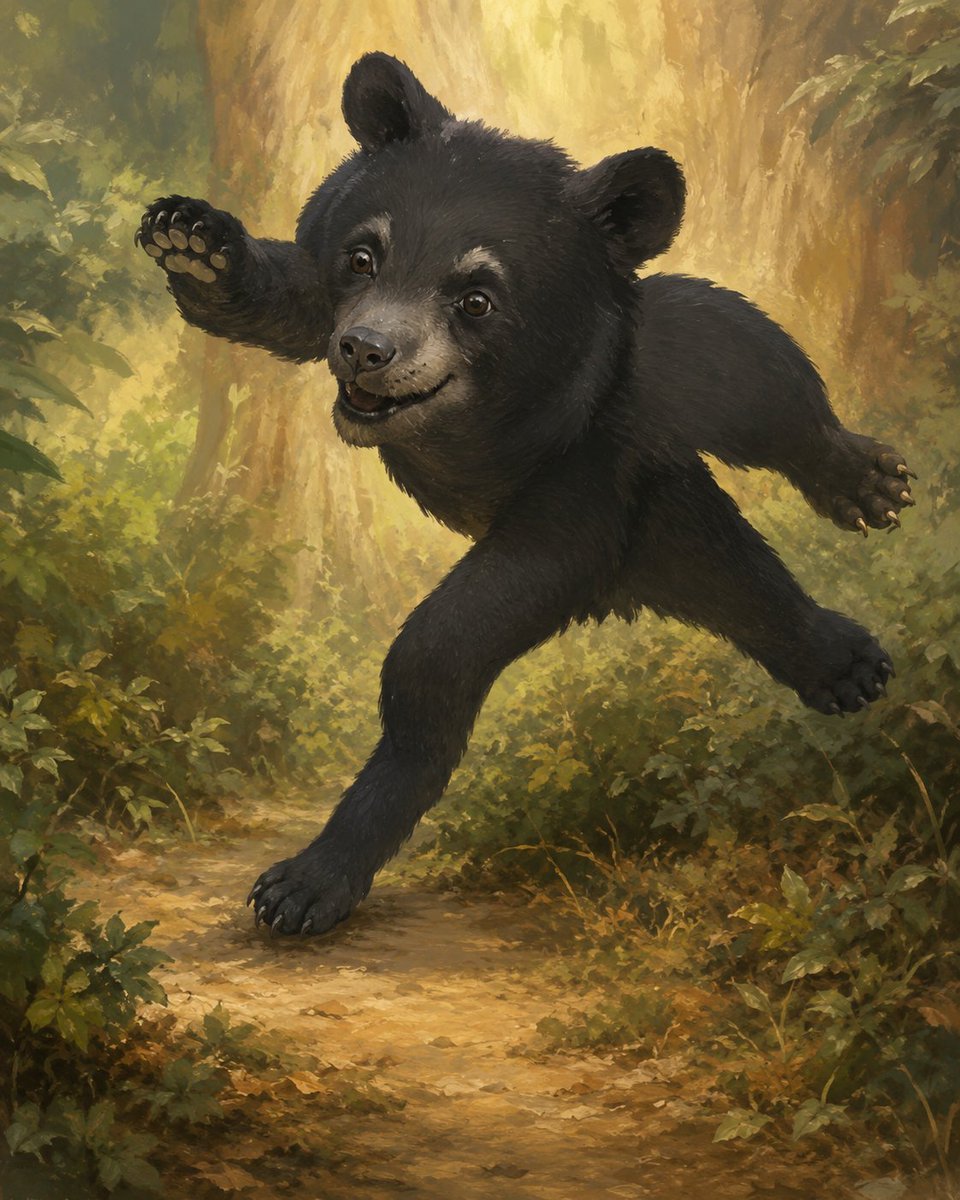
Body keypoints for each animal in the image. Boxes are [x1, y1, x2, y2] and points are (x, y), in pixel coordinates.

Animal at [136, 52, 914, 936]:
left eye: (478, 297)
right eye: (363, 256)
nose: (366, 349)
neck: (487, 419)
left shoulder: (587, 470)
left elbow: (449, 640)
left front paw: (305, 883)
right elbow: (290, 299)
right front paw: (192, 240)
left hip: (677, 420)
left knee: (757, 376)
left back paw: (867, 500)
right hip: (681, 526)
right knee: (743, 580)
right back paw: (846, 665)